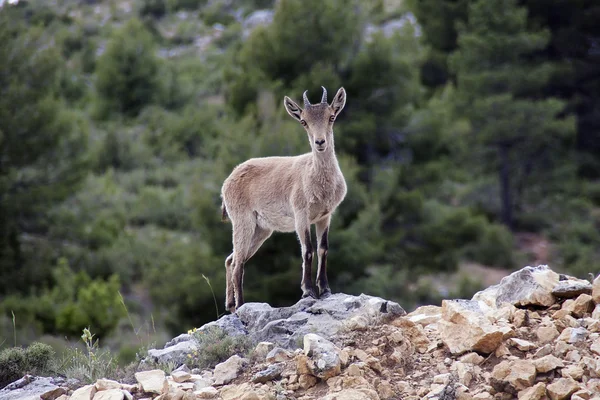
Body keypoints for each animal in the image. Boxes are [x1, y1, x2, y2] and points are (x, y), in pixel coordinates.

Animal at [220, 86, 346, 312]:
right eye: (304, 121)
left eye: (331, 117)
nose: (320, 142)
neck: (315, 177)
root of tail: (227, 182)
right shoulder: (301, 213)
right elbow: (307, 250)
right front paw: (308, 291)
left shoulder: (325, 216)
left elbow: (323, 249)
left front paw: (325, 290)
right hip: (243, 220)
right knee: (237, 263)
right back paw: (241, 305)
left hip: (261, 229)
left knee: (231, 259)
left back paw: (231, 305)